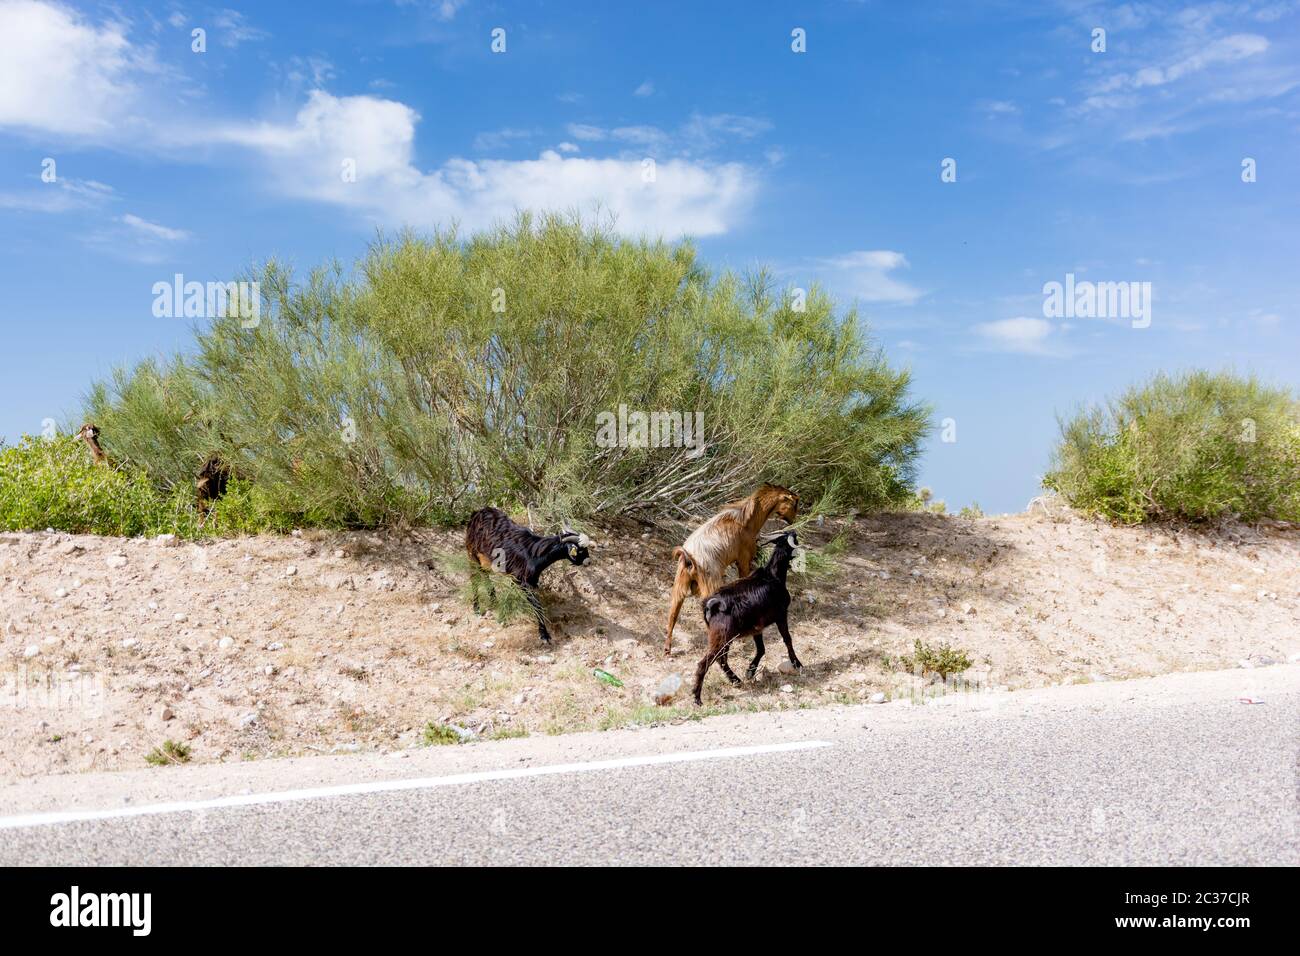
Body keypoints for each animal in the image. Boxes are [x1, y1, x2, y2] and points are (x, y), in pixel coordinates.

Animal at [465, 504, 592, 647]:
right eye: (579, 550)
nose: (588, 562)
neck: (533, 553)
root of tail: (478, 512)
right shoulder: (524, 582)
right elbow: (537, 606)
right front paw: (544, 635)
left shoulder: (523, 580)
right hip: (472, 554)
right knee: (474, 577)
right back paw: (476, 608)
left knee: (484, 574)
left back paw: (494, 600)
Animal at [665, 481, 795, 655]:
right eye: (794, 504)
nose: (793, 520)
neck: (746, 519)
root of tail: (689, 557)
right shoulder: (744, 560)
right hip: (710, 584)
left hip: (679, 584)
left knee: (672, 614)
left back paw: (667, 648)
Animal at [696, 528, 795, 707]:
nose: (795, 531)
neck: (773, 576)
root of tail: (712, 604)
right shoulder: (781, 615)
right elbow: (787, 639)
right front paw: (797, 663)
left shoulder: (757, 627)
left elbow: (761, 649)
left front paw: (750, 671)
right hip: (721, 636)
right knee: (705, 662)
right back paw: (697, 698)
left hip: (725, 637)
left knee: (721, 659)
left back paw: (736, 680)